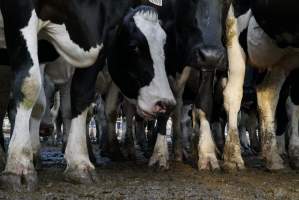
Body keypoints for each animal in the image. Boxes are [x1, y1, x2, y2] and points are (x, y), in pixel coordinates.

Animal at [0, 0, 176, 191]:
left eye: (165, 47)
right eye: (134, 46)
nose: (166, 103)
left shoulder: (100, 42)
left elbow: (81, 97)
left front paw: (79, 163)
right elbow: (32, 89)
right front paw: (20, 164)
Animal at [225, 0, 299, 170]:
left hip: (282, 57)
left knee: (268, 95)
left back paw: (272, 157)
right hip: (235, 31)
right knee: (233, 94)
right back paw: (233, 157)